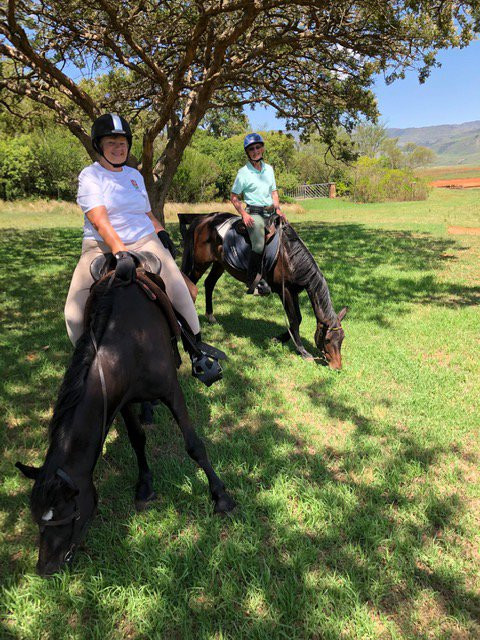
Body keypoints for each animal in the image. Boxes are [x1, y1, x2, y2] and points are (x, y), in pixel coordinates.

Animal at [17, 268, 235, 576]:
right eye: (37, 517)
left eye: (67, 512)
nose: (45, 568)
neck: (129, 343)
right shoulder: (123, 401)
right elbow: (137, 439)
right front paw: (145, 485)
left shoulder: (172, 391)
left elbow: (194, 445)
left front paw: (221, 496)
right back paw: (148, 411)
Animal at [179, 212, 344, 368]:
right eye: (327, 339)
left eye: (342, 338)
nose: (337, 366)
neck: (289, 257)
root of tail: (204, 219)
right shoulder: (286, 291)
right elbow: (294, 320)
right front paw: (302, 351)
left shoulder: (294, 292)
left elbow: (297, 318)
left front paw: (279, 338)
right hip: (200, 264)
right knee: (189, 286)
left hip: (219, 264)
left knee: (209, 284)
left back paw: (210, 316)